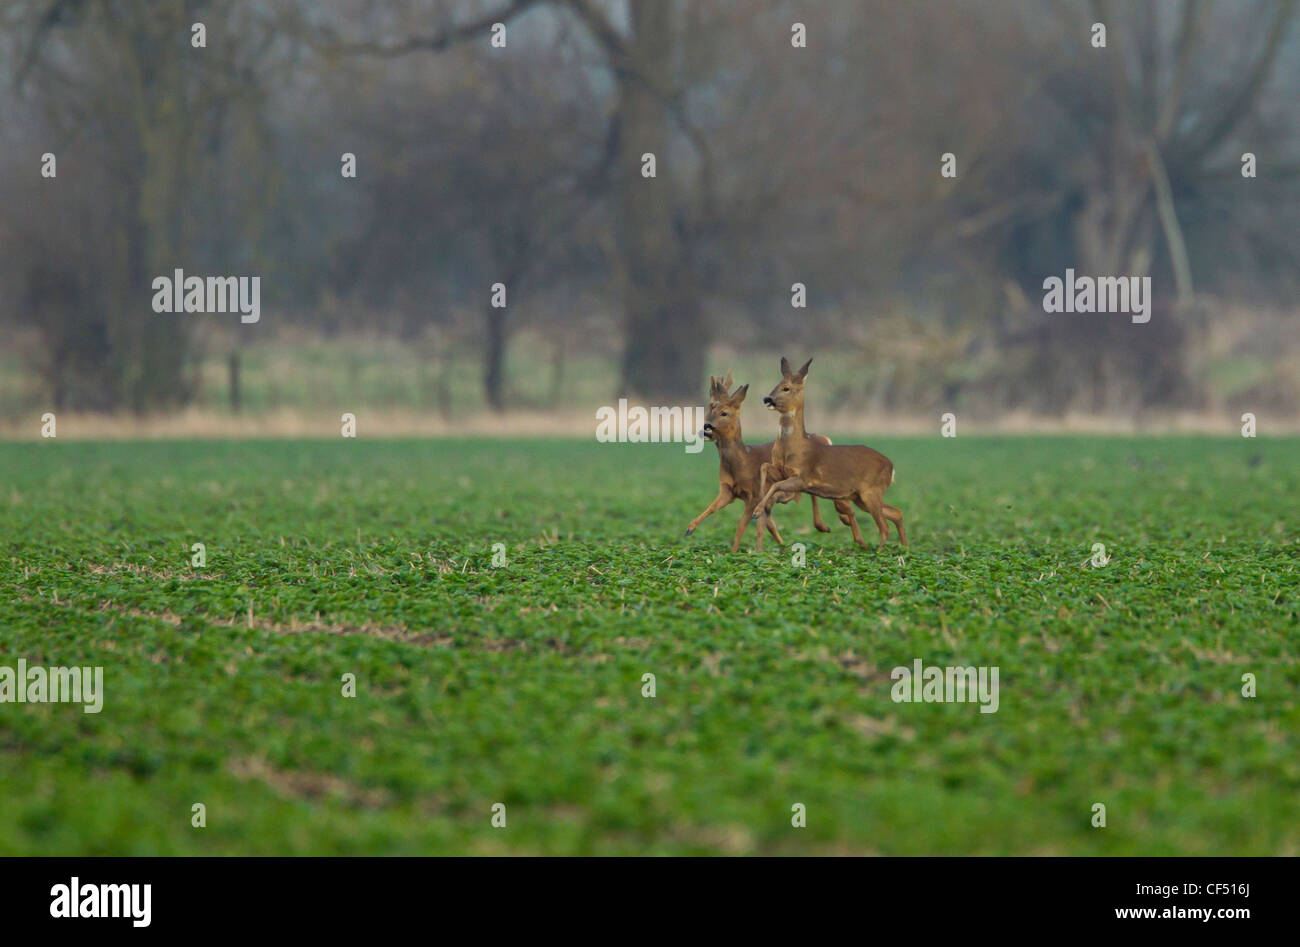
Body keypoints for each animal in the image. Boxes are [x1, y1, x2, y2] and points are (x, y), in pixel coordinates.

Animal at [686, 372, 847, 551]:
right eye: (709, 409)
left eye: (724, 413)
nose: (705, 428)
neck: (743, 462)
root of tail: (826, 439)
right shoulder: (728, 490)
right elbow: (713, 507)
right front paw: (690, 529)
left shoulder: (754, 495)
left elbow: (743, 527)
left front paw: (743, 552)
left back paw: (831, 521)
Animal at [759, 353, 909, 546]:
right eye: (776, 384)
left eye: (786, 388)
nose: (767, 399)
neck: (792, 446)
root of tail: (891, 468)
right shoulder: (782, 471)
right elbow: (764, 468)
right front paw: (760, 504)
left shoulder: (803, 477)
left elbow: (776, 485)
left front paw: (757, 510)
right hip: (861, 497)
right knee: (896, 513)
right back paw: (903, 548)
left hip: (871, 491)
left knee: (884, 526)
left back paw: (880, 551)